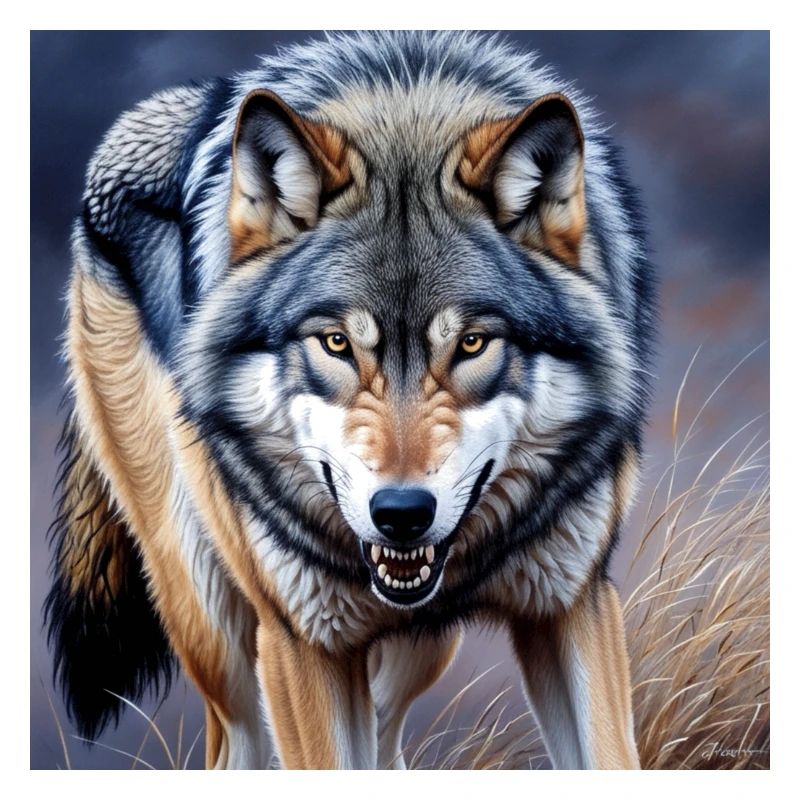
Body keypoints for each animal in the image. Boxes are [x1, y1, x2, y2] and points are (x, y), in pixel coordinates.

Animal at [45, 31, 655, 769]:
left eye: (473, 343)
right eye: (336, 342)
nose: (402, 514)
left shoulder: (571, 605)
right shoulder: (304, 641)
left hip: (420, 647)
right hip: (216, 627)